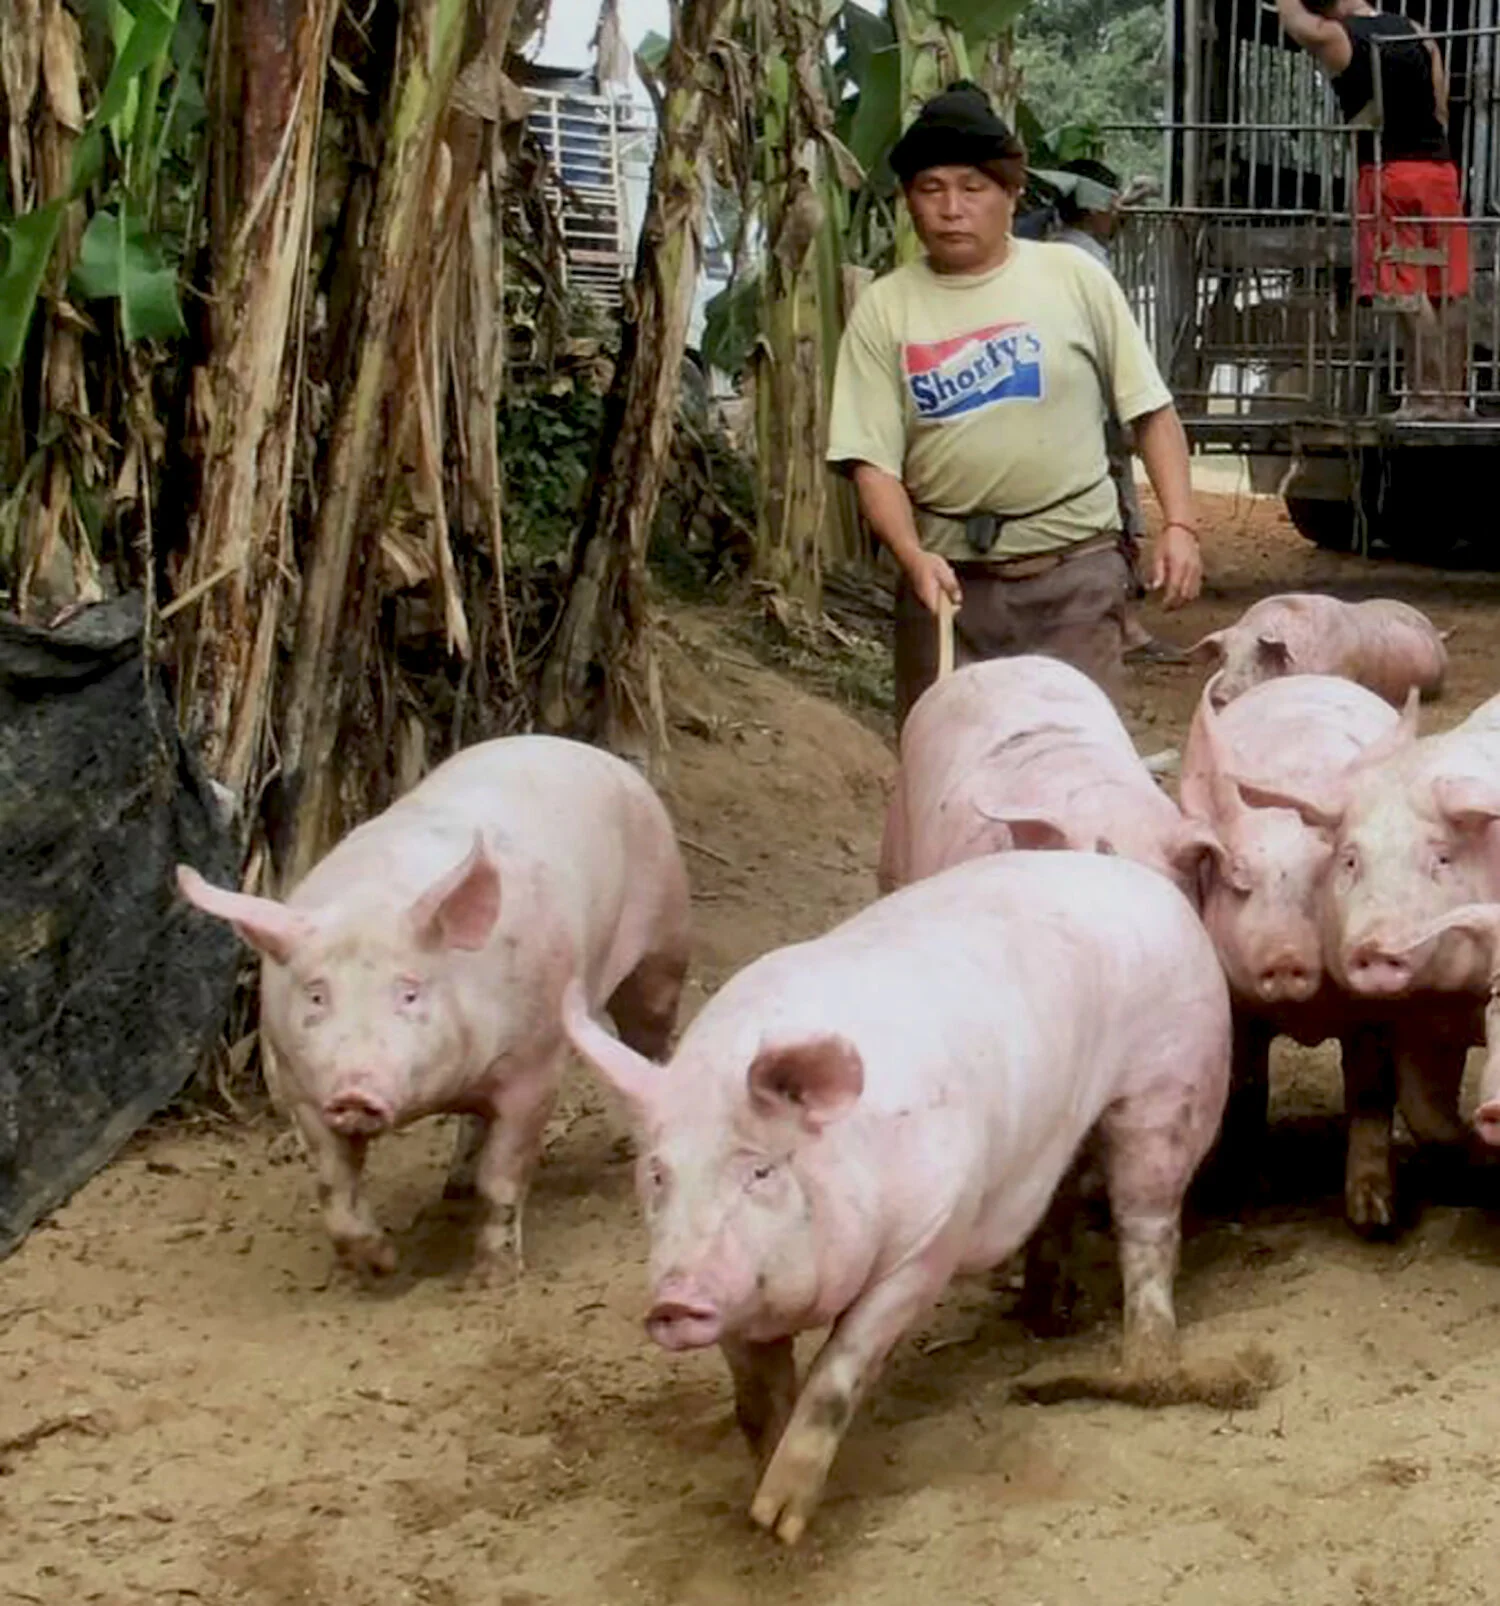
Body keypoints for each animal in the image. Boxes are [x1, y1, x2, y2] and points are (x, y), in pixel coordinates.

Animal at [176, 735, 690, 1279]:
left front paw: (494, 1277)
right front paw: (380, 1264)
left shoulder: (537, 1064)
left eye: (409, 992)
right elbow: (334, 1186)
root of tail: (589, 751)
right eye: (317, 995)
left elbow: (504, 1175)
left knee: (649, 1038)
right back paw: (453, 1190)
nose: (355, 1091)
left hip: (664, 946)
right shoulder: (300, 1087)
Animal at [563, 850, 1230, 1543]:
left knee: (1147, 1223)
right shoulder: (739, 1301)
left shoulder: (930, 1238)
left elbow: (839, 1367)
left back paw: (1146, 1361)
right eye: (658, 1173)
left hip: (1171, 1082)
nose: (674, 1299)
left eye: (761, 1172)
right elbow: (757, 1398)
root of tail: (1137, 876)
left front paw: (783, 1521)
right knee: (1063, 1200)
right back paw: (1043, 1319)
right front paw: (759, 1518)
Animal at [1179, 672, 1414, 1227]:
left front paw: (1374, 1216)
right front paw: (1235, 1198)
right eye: (1239, 879)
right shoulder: (1235, 1001)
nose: (1285, 957)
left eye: (1328, 874)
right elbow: (1243, 1086)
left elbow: (1371, 1090)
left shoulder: (1377, 1005)